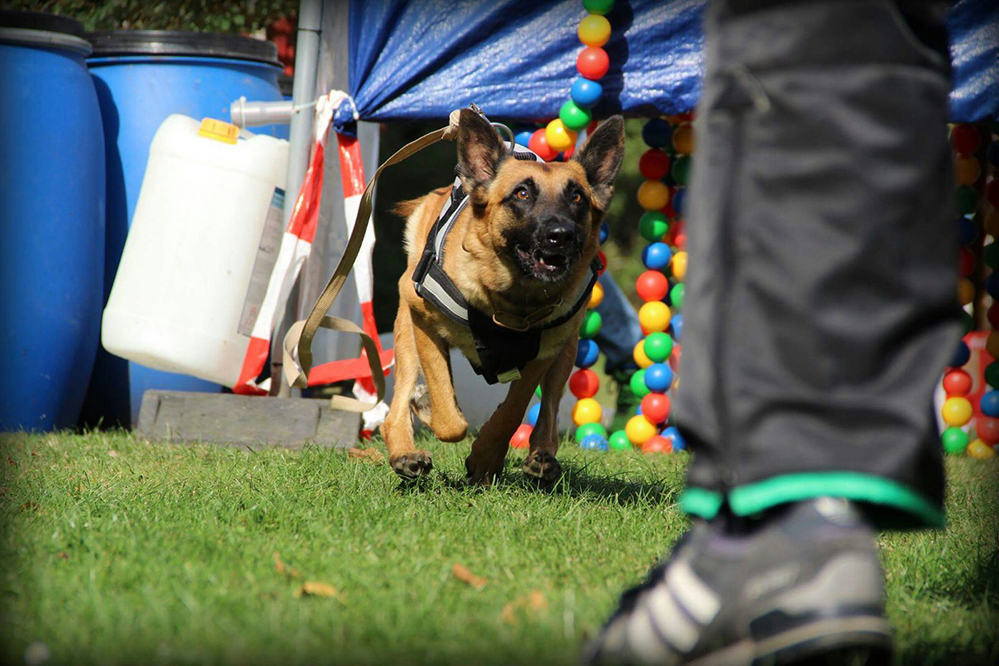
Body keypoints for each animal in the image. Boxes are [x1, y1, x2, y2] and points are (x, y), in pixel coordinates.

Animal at [384, 109, 624, 482]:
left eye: (577, 198)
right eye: (522, 194)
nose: (561, 236)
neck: (512, 302)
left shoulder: (542, 355)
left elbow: (512, 411)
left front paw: (485, 457)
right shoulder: (422, 320)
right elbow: (449, 418)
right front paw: (432, 410)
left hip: (567, 351)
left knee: (549, 414)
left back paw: (542, 458)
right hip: (407, 332)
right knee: (396, 406)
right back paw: (405, 451)